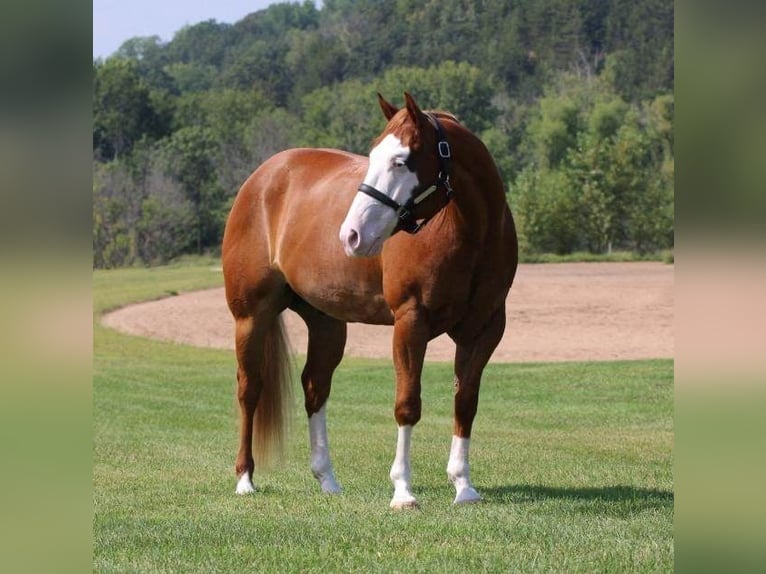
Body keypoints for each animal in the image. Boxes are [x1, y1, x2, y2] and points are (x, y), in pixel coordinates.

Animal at [225, 91, 520, 508]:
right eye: (373, 155)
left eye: (400, 161)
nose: (351, 235)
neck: (468, 234)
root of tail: (263, 177)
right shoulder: (411, 322)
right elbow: (407, 405)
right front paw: (403, 491)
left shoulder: (485, 329)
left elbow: (465, 402)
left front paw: (463, 486)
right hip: (251, 316)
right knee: (249, 389)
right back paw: (245, 479)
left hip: (326, 322)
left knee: (315, 388)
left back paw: (328, 480)